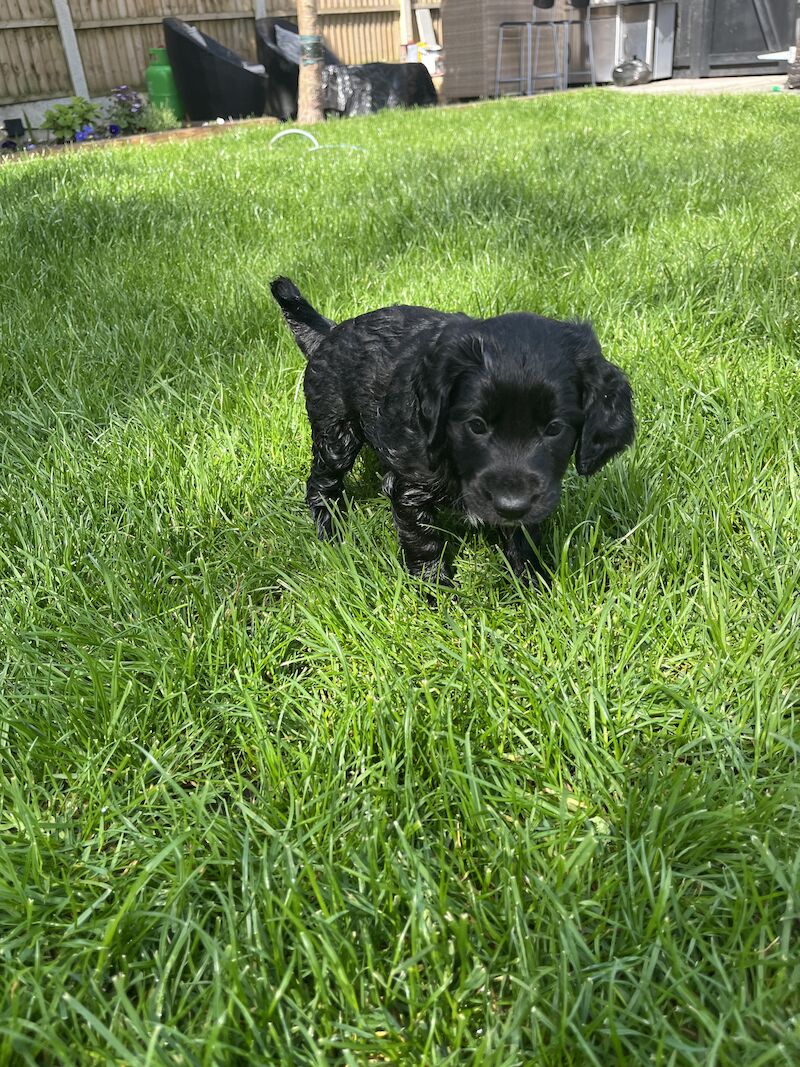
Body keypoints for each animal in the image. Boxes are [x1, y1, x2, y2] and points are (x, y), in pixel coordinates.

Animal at [273, 277, 635, 584]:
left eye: (554, 428)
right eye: (476, 425)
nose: (511, 505)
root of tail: (331, 332)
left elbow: (523, 537)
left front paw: (532, 585)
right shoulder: (409, 486)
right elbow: (423, 543)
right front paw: (437, 596)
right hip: (336, 433)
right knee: (322, 483)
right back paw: (330, 529)